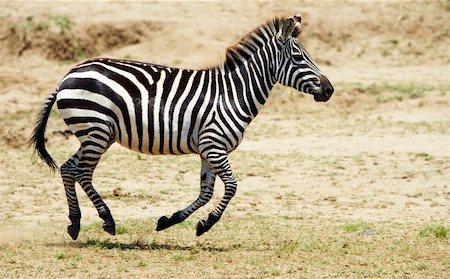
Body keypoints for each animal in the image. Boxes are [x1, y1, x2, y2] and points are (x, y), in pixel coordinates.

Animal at [29, 14, 334, 241]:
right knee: (83, 173)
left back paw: (75, 224)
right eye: (299, 58)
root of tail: (68, 74)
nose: (329, 90)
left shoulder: (209, 150)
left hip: (94, 134)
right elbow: (232, 186)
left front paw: (170, 221)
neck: (233, 93)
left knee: (68, 168)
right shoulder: (214, 146)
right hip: (96, 131)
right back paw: (107, 220)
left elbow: (206, 192)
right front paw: (207, 224)